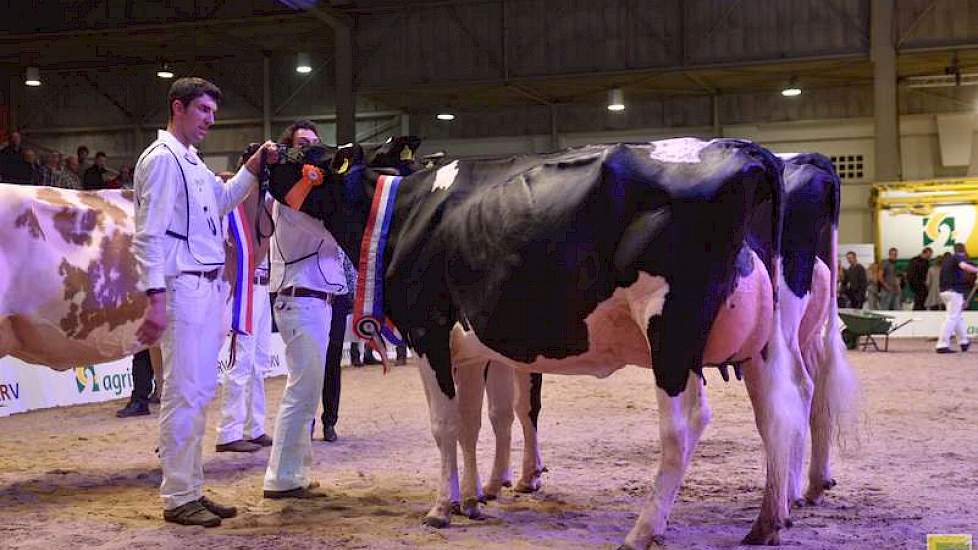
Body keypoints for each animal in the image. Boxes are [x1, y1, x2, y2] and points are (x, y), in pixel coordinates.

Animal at [268, 139, 800, 550]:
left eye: (296, 151)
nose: (259, 149)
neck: (403, 211)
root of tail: (746, 151)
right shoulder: (469, 351)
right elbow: (471, 424)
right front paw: (472, 499)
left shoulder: (428, 333)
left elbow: (445, 425)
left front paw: (442, 507)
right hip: (765, 340)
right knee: (776, 414)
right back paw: (767, 524)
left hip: (671, 331)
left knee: (685, 426)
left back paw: (643, 530)